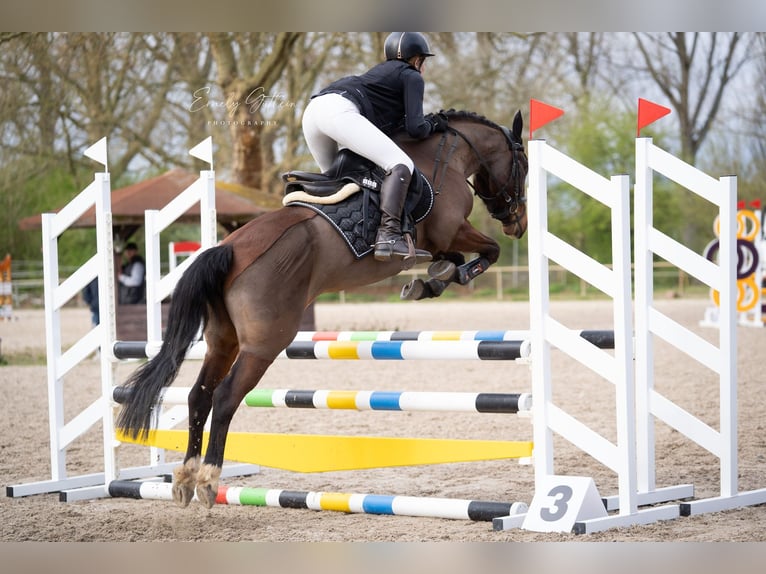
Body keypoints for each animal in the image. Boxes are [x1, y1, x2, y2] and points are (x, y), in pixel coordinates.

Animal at [115, 109, 528, 508]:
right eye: (522, 166)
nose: (518, 225)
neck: (445, 156)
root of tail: (229, 248)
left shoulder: (442, 241)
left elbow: (454, 259)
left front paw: (431, 279)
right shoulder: (451, 230)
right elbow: (488, 251)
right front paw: (441, 278)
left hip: (223, 340)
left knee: (198, 395)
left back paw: (185, 478)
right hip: (264, 344)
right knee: (226, 396)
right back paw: (208, 479)